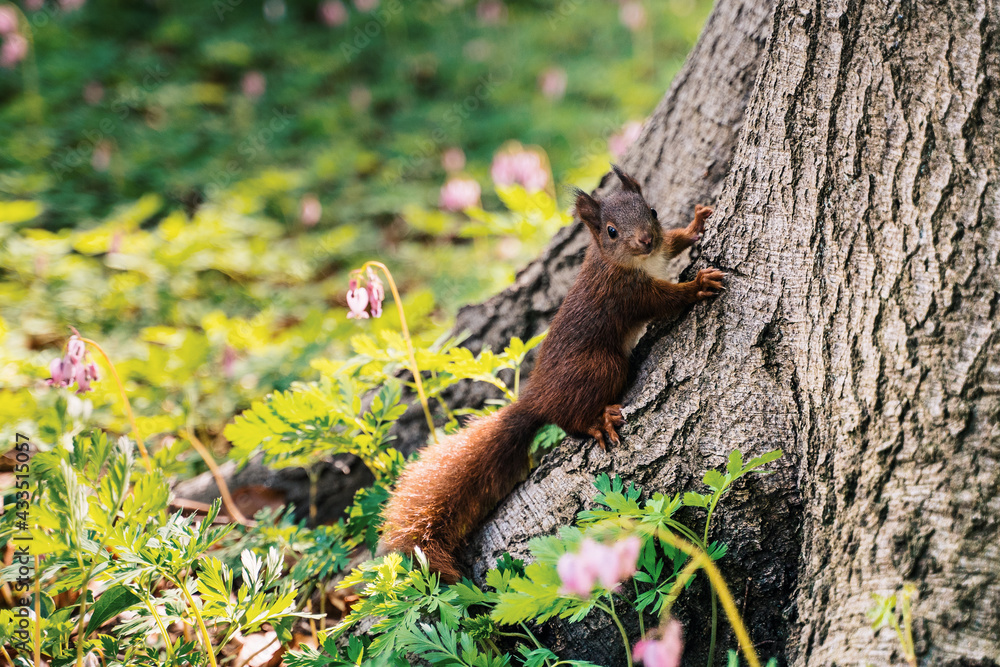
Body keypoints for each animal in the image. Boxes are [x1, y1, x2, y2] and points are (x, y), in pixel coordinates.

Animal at [380, 165, 726, 582]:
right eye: (611, 231)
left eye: (653, 212)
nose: (645, 240)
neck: (632, 262)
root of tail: (537, 398)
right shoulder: (629, 294)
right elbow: (667, 300)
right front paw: (698, 284)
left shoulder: (659, 252)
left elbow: (673, 243)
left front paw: (695, 223)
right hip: (602, 366)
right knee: (569, 420)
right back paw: (597, 422)